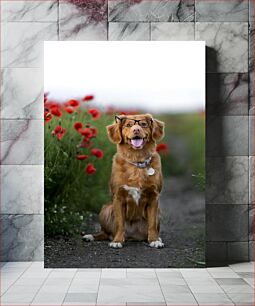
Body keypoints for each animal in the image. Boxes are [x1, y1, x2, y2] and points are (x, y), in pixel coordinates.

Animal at [82, 113, 164, 247]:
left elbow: (152, 224)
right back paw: (91, 236)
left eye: (143, 124)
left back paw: (155, 238)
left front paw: (154, 240)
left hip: (159, 212)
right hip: (105, 209)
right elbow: (119, 223)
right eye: (129, 125)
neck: (137, 160)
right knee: (105, 233)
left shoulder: (154, 197)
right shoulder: (118, 197)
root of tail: (133, 236)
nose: (136, 130)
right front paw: (117, 241)